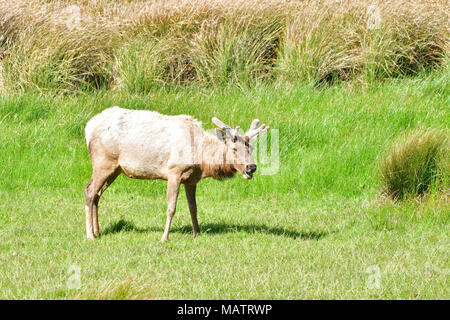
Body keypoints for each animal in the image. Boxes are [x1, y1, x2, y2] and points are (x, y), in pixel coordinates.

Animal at [83, 106, 268, 241]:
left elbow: (193, 207)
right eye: (234, 149)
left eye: (251, 148)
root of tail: (88, 128)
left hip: (115, 169)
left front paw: (197, 233)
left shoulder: (191, 179)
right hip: (103, 162)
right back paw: (90, 235)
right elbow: (171, 207)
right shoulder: (174, 172)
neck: (201, 159)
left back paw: (98, 231)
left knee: (97, 194)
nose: (251, 167)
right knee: (89, 191)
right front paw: (164, 237)